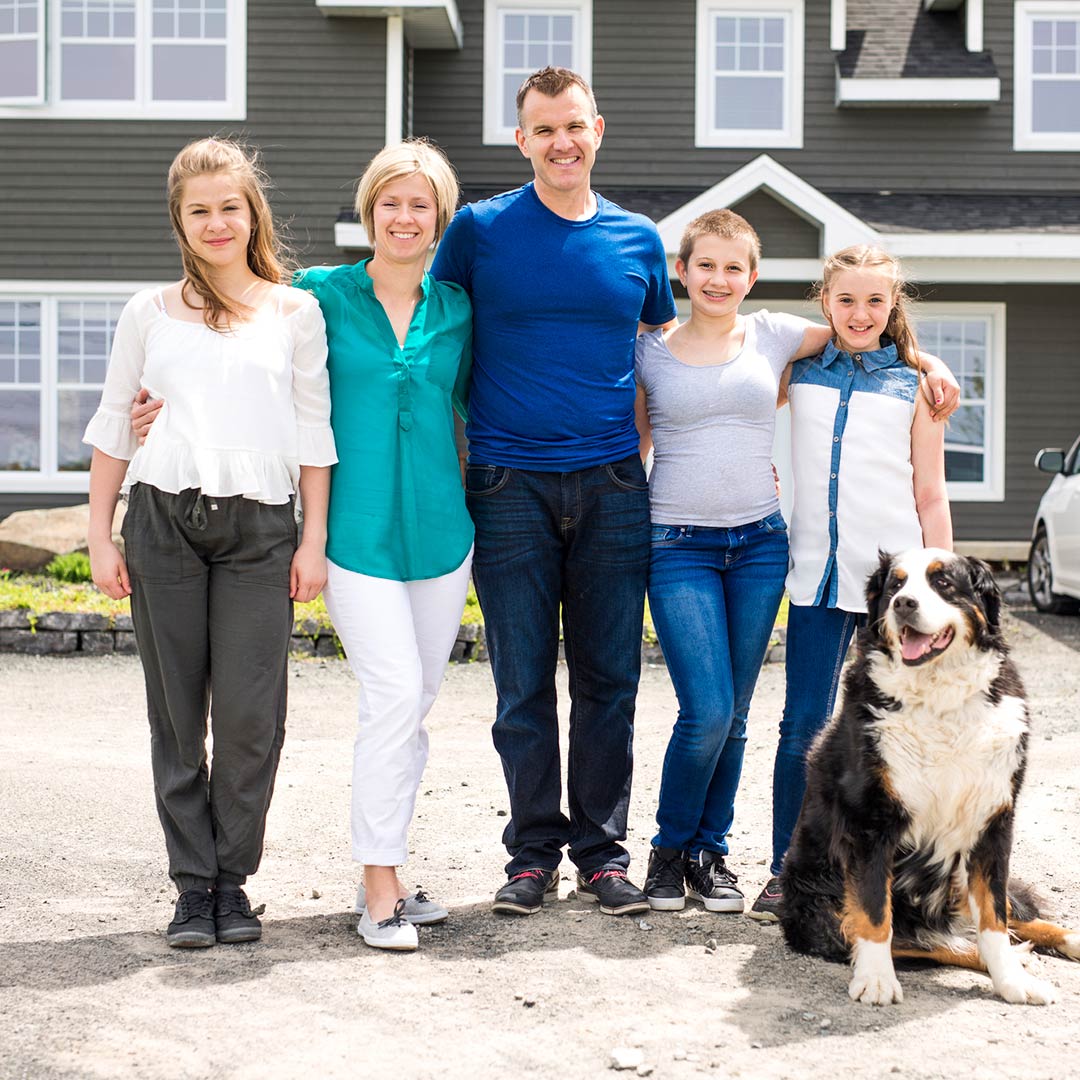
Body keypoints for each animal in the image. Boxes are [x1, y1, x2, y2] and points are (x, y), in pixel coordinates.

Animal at [781, 548, 1075, 1002]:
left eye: (944, 583)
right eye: (895, 585)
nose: (904, 604)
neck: (940, 699)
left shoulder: (993, 819)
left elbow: (994, 918)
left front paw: (1012, 982)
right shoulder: (870, 819)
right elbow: (874, 913)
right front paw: (876, 980)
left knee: (1005, 919)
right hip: (820, 907)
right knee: (930, 940)